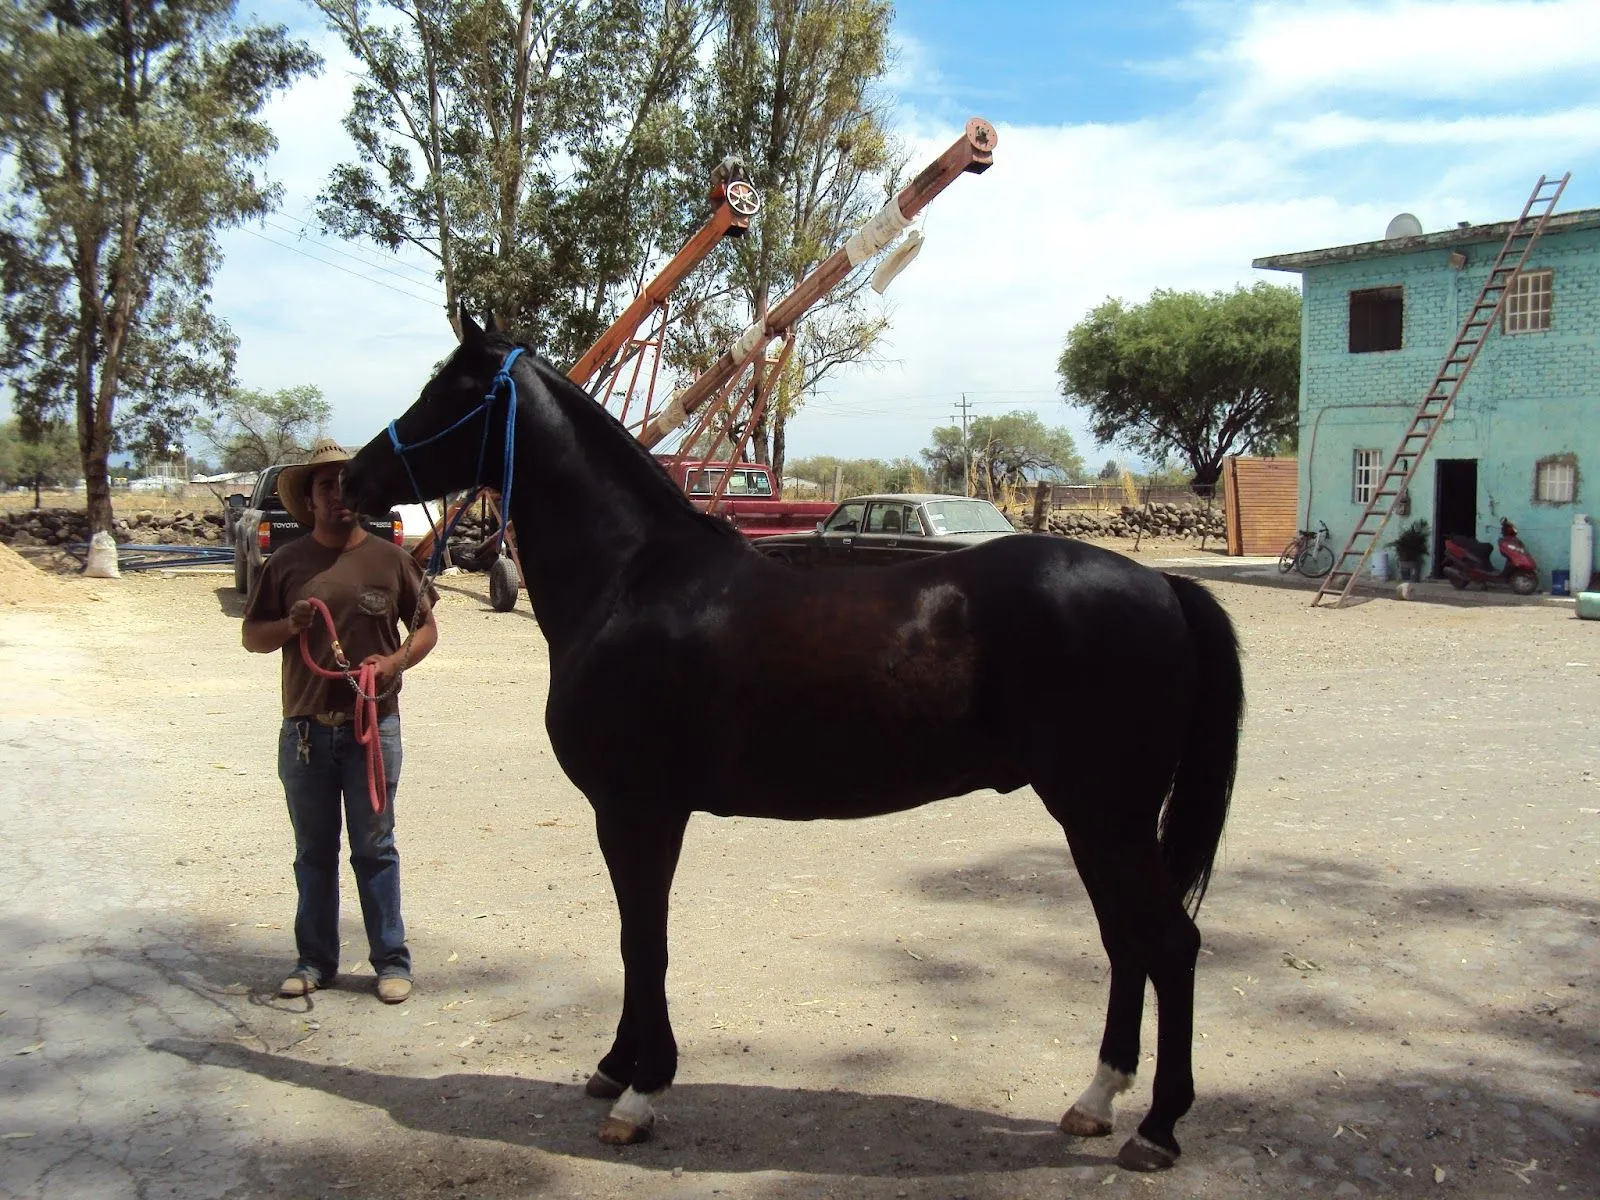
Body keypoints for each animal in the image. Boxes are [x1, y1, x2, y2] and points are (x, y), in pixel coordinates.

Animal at [347, 320, 1248, 1177]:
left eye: (448, 391)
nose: (351, 479)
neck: (633, 580)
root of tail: (1162, 584)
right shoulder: (640, 814)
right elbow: (637, 939)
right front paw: (615, 1066)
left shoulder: (636, 811)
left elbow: (643, 940)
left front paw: (640, 1091)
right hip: (1095, 819)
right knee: (1125, 941)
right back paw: (1096, 1100)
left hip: (1106, 815)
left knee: (1169, 944)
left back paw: (1157, 1130)